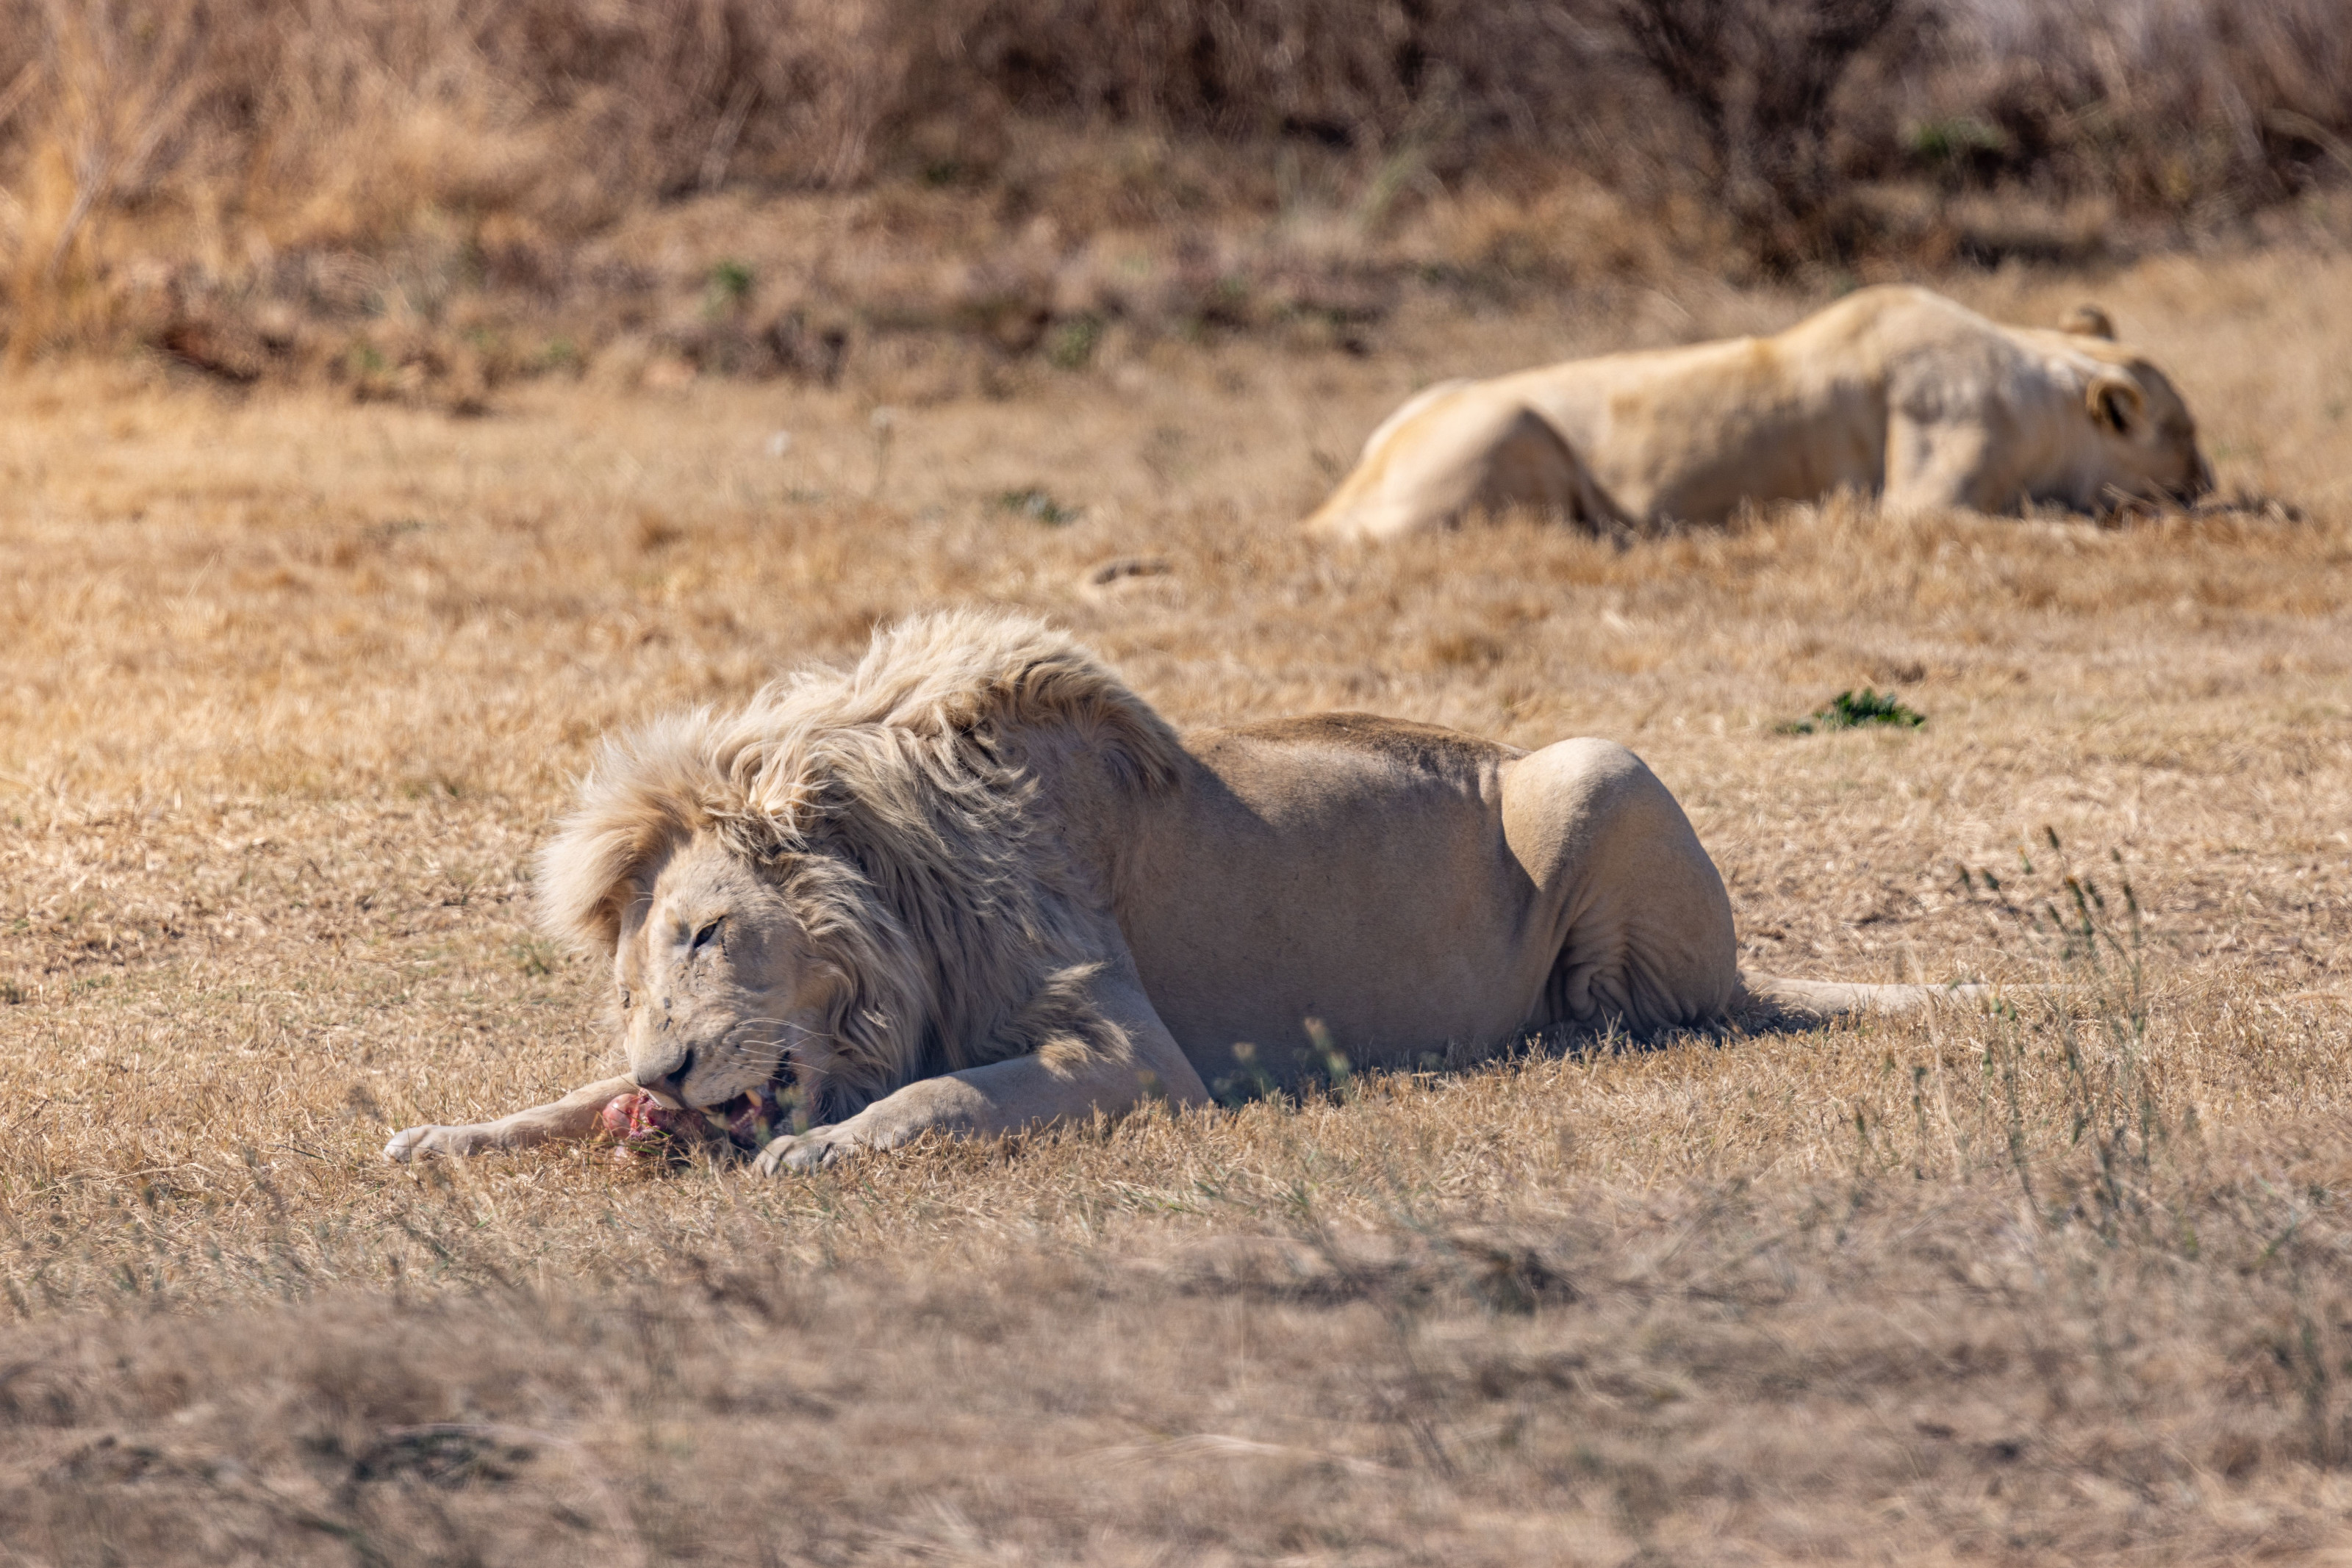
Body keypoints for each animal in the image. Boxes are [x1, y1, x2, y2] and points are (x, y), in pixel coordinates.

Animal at [384, 611, 1974, 1173]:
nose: (665, 1070)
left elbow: (937, 1095)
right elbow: (553, 1105)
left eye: (712, 931)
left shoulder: (1131, 1054)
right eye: (632, 982)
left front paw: (816, 1152)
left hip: (1601, 762)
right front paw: (443, 1133)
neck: (904, 887)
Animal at [1303, 285, 2212, 540]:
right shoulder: (1922, 499)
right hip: (1507, 427)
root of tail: (1328, 507)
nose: (2205, 481)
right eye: (2184, 433)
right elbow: (2050, 527)